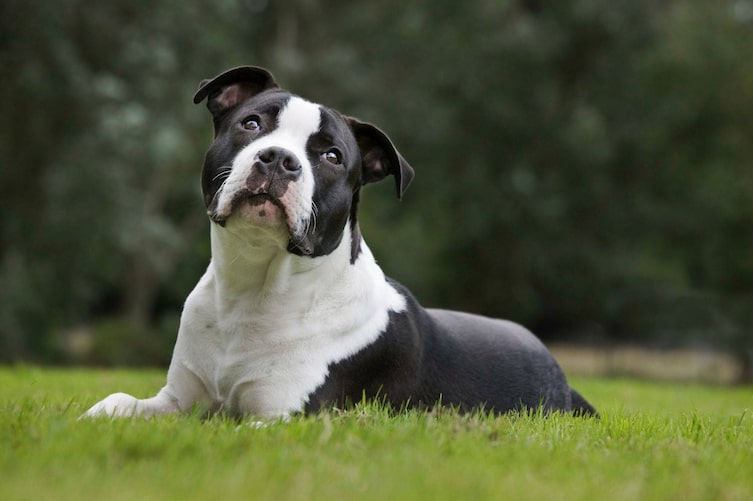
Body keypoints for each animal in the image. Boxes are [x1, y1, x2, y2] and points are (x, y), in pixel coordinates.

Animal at [83, 66, 597, 419]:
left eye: (332, 156)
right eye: (251, 124)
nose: (278, 159)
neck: (254, 287)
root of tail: (558, 370)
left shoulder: (280, 416)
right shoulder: (175, 400)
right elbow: (113, 401)